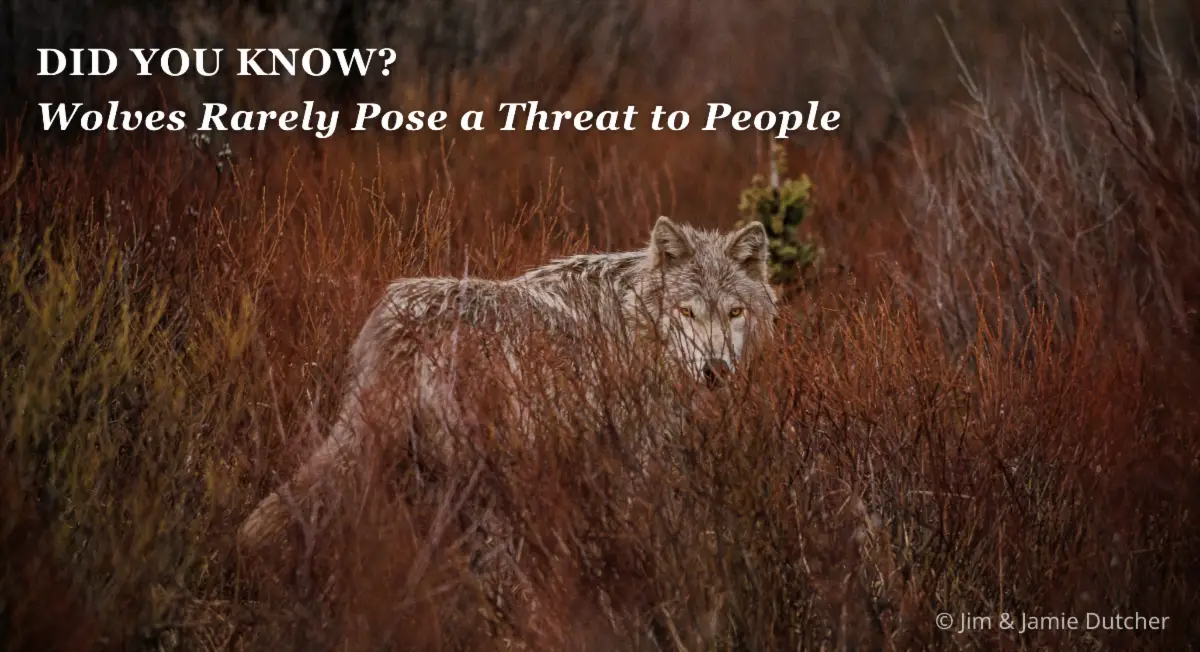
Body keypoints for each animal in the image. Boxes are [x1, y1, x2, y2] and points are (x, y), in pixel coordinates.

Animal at [237, 216, 778, 554]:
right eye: (688, 312)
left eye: (735, 313)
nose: (715, 369)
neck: (632, 320)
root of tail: (401, 324)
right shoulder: (636, 454)